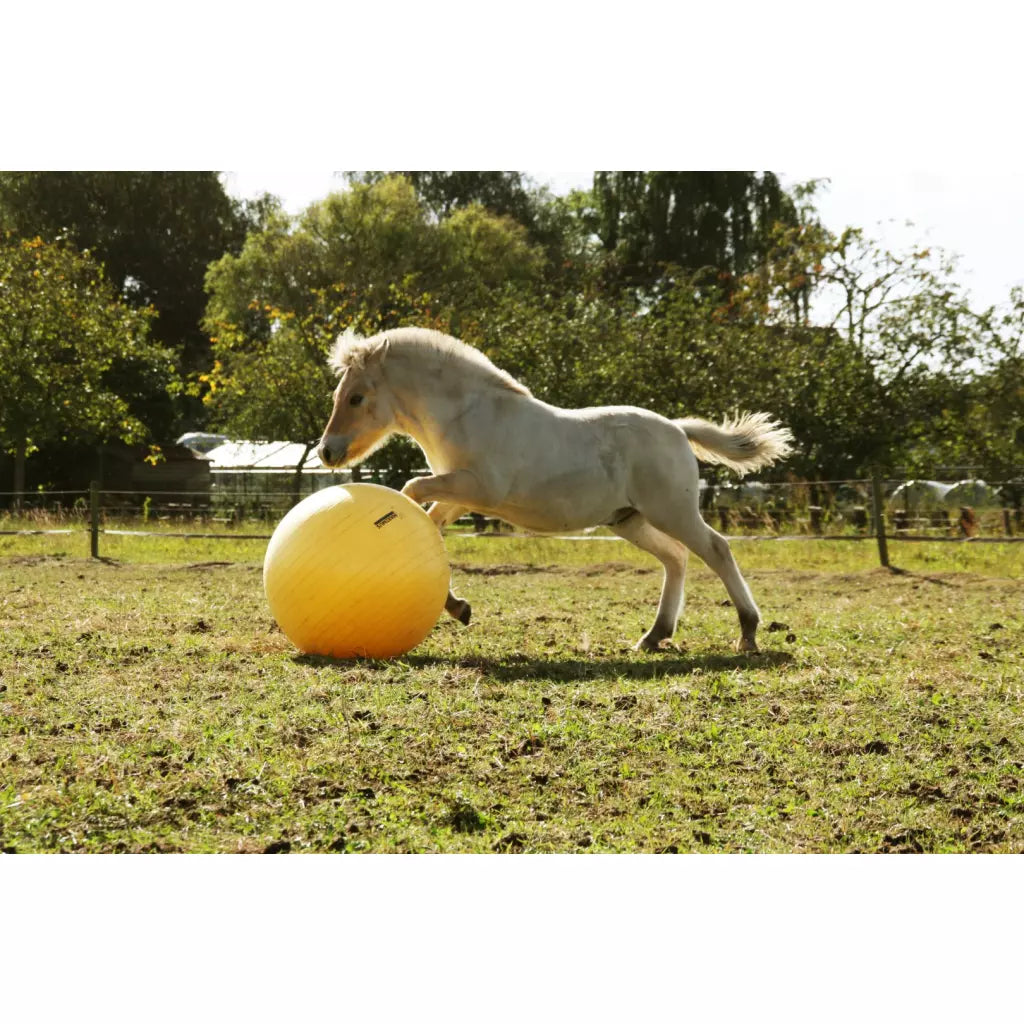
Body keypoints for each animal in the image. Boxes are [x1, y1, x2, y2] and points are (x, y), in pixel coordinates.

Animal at [317, 326, 794, 653]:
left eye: (356, 397)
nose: (327, 451)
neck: (468, 414)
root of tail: (678, 429)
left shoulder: (480, 490)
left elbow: (413, 489)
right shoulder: (461, 496)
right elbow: (432, 522)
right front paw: (458, 607)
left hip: (673, 512)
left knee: (716, 549)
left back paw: (748, 633)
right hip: (629, 520)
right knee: (676, 558)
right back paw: (653, 636)